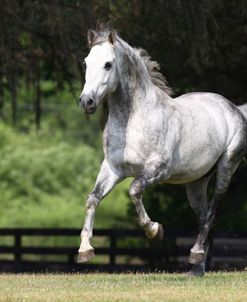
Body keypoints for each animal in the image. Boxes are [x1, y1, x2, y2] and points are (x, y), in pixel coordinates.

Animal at [77, 24, 247, 276]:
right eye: (87, 62)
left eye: (108, 64)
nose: (86, 102)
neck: (133, 119)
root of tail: (234, 108)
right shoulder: (112, 169)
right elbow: (93, 199)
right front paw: (85, 250)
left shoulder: (157, 169)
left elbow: (135, 189)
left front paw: (154, 230)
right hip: (196, 182)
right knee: (203, 215)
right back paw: (196, 268)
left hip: (227, 166)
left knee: (213, 212)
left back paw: (195, 253)